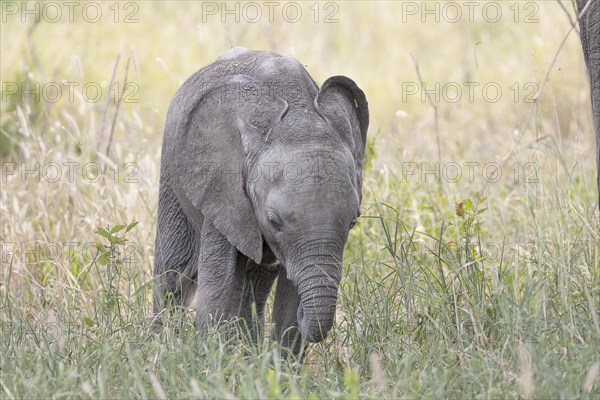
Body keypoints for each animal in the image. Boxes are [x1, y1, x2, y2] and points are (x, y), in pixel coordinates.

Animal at [154, 47, 370, 356]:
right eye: (273, 221)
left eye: (353, 221)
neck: (301, 114)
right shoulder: (223, 188)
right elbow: (219, 285)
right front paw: (213, 361)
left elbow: (289, 298)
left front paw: (275, 366)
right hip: (172, 178)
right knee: (173, 275)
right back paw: (155, 346)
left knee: (255, 285)